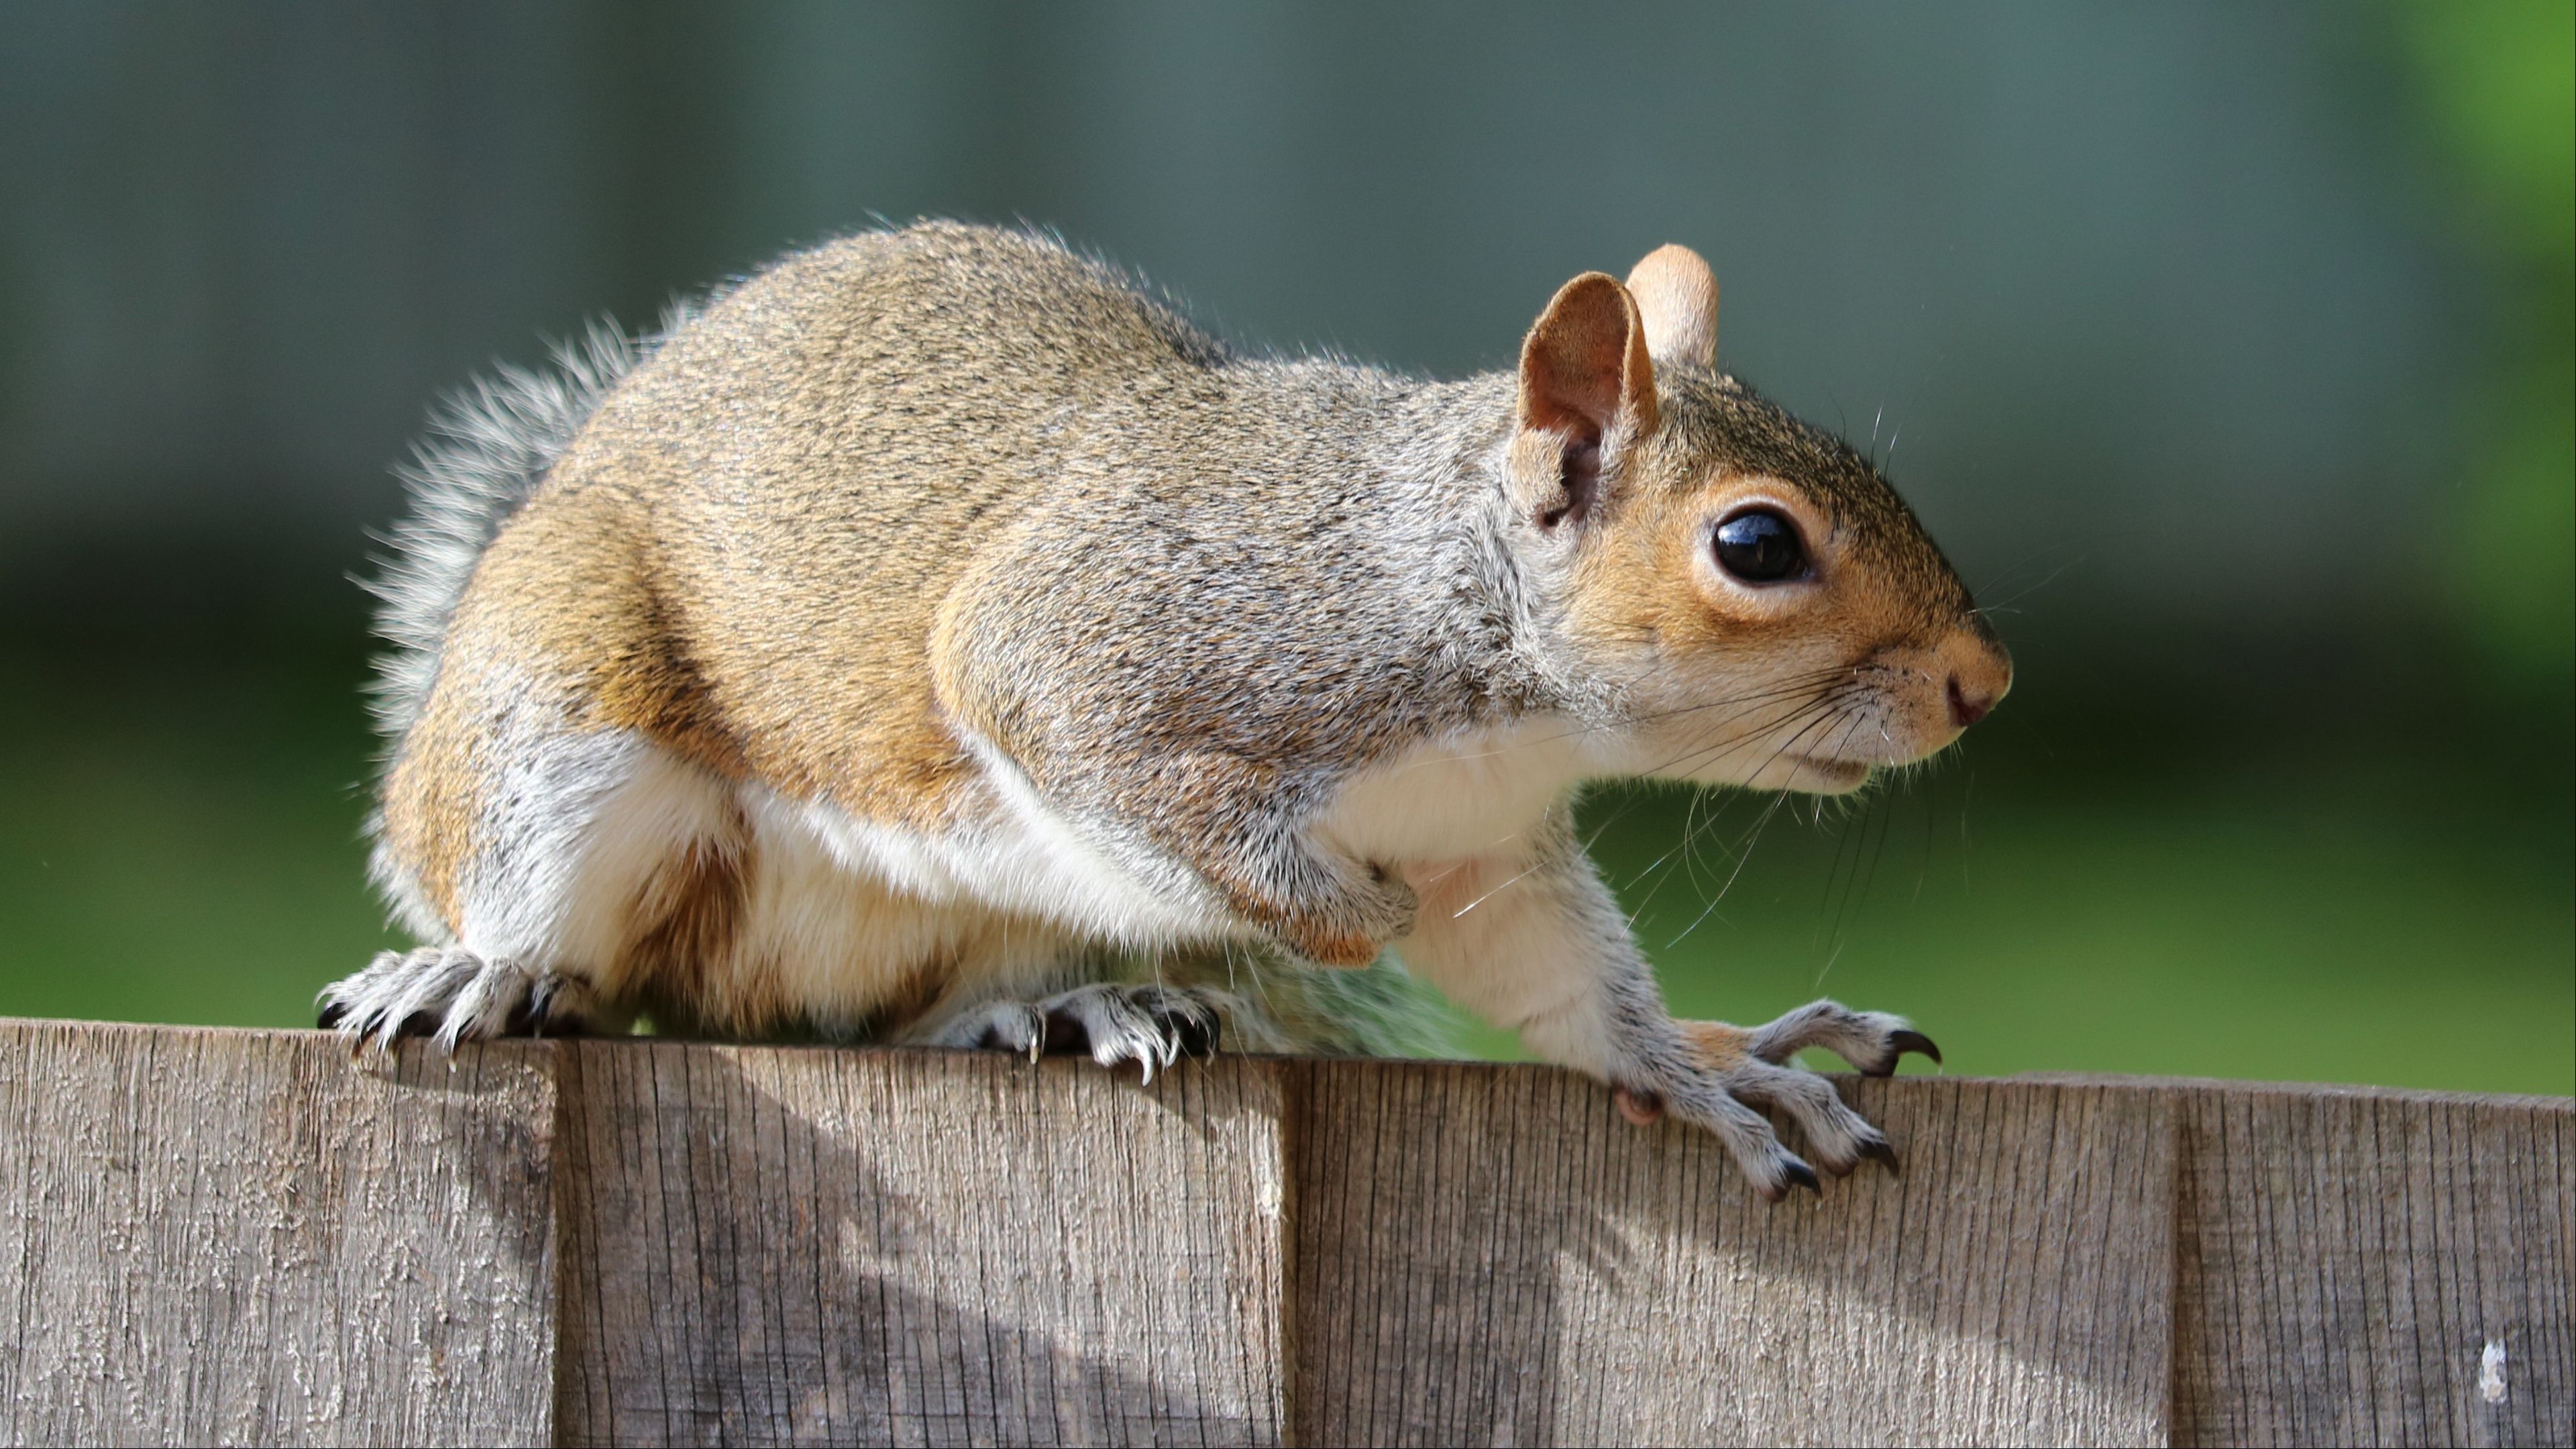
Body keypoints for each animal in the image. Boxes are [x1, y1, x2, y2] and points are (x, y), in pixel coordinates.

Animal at [321, 221, 2010, 1198]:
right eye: (1755, 545)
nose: (1979, 685)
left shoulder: (1485, 847)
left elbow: (1560, 986)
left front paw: (1707, 1067)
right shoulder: (1101, 647)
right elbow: (1104, 758)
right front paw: (1337, 915)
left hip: (959, 929)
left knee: (885, 1019)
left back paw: (1060, 1005)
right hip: (558, 724)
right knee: (566, 937)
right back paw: (474, 971)